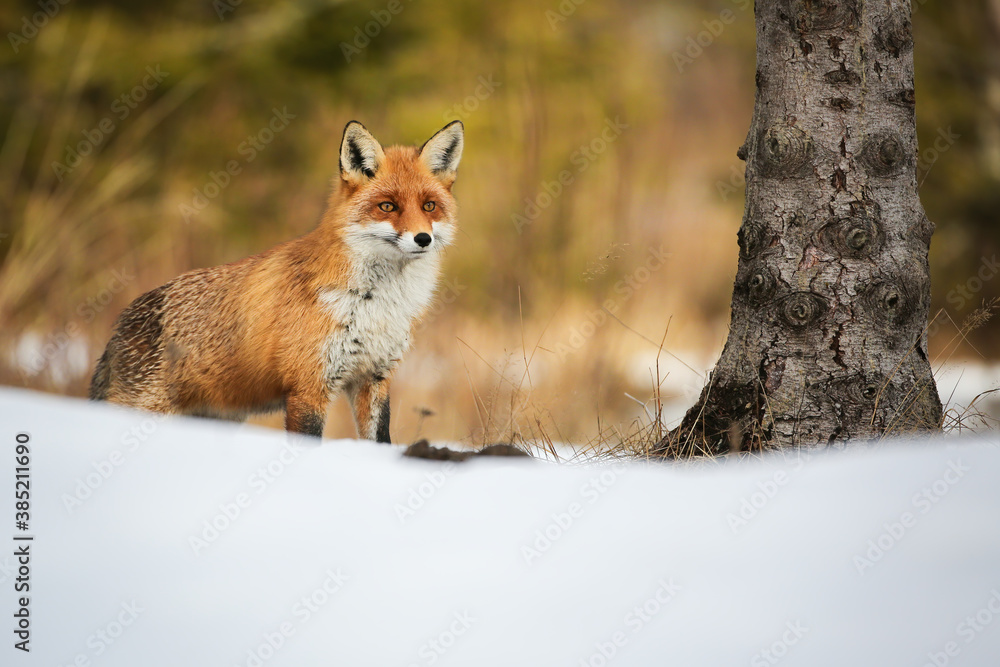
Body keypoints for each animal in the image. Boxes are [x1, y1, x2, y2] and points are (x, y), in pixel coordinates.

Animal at [89, 120, 464, 442]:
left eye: (429, 206)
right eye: (387, 206)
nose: (422, 239)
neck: (376, 304)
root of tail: (120, 322)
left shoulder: (374, 378)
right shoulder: (308, 387)